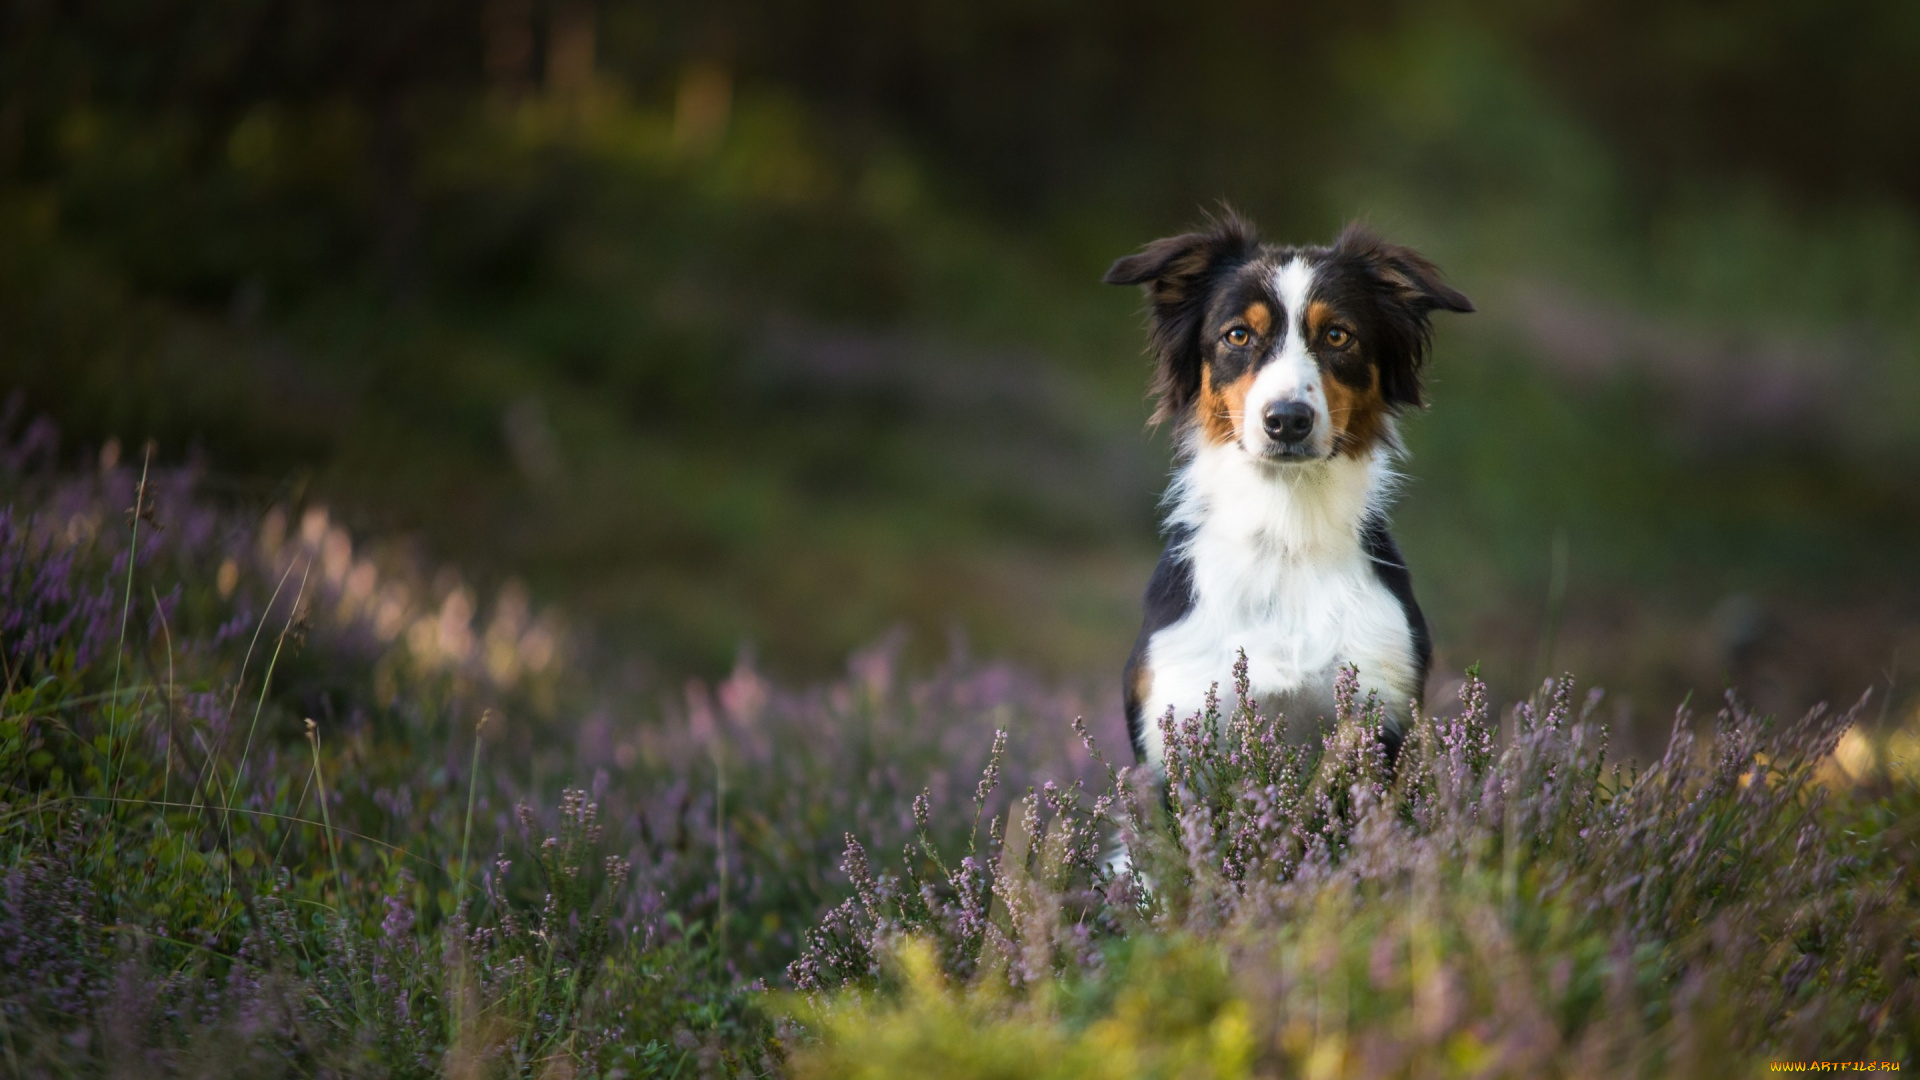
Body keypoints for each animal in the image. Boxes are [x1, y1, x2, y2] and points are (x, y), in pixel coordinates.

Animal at [1105, 210, 1474, 764]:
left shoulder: (1380, 709)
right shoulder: (1176, 725)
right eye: (1237, 335)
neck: (1285, 531)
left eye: (1339, 336)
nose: (1286, 420)